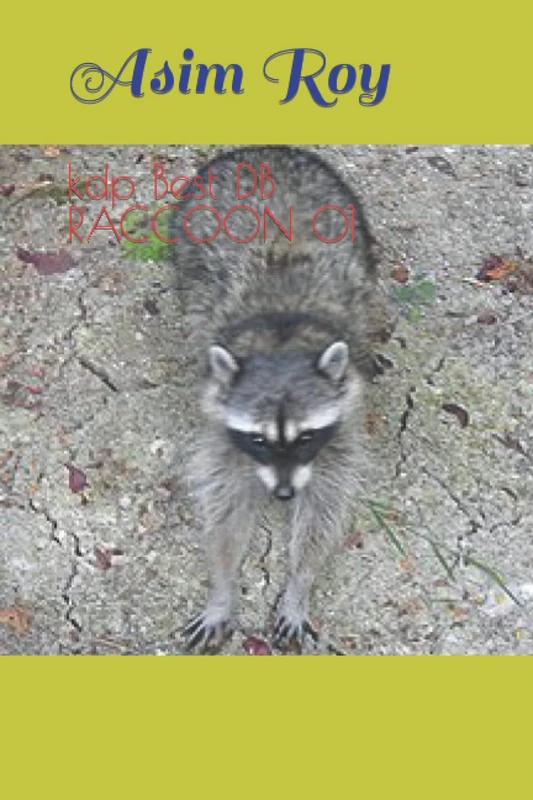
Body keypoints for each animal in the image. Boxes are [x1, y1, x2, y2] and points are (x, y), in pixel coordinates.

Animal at [175, 145, 386, 651]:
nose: (285, 495)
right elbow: (226, 506)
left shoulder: (340, 428)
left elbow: (325, 506)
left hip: (352, 223)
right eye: (259, 440)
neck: (280, 338)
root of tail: (260, 149)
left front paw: (299, 583)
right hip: (188, 235)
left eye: (306, 437)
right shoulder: (223, 430)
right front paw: (222, 587)